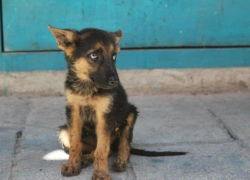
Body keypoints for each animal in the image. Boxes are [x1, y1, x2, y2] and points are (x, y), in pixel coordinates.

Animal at [48, 24, 186, 179]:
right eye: (94, 55)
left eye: (114, 57)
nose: (115, 82)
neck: (87, 87)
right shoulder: (73, 110)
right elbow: (75, 143)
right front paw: (72, 165)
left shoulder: (104, 115)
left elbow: (102, 150)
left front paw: (101, 173)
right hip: (63, 131)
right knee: (97, 149)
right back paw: (86, 158)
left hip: (130, 114)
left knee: (121, 146)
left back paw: (120, 161)